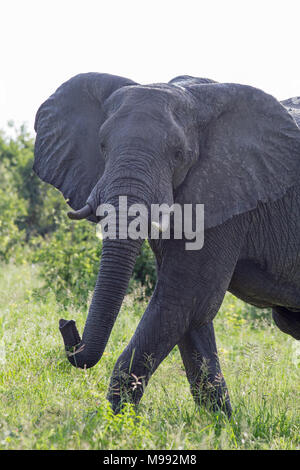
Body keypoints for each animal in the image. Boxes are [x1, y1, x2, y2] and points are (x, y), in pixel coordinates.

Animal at [32, 73, 300, 414]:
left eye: (178, 154)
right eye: (102, 146)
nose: (66, 323)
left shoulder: (224, 192)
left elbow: (184, 301)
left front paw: (117, 422)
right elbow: (190, 318)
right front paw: (220, 423)